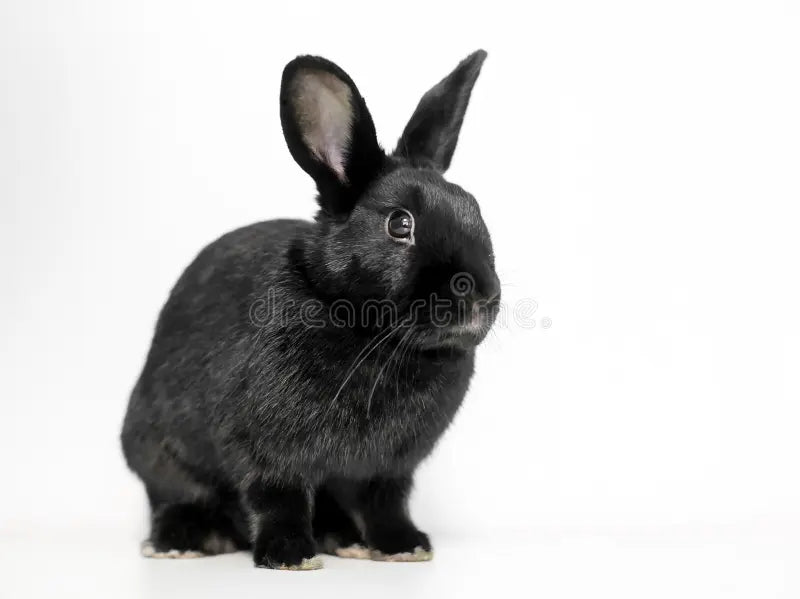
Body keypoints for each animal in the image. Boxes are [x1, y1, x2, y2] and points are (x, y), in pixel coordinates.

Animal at [121, 49, 500, 570]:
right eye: (399, 224)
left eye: (476, 210)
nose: (481, 294)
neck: (370, 335)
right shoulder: (265, 450)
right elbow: (277, 497)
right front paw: (289, 556)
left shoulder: (389, 466)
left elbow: (387, 502)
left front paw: (404, 546)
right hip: (159, 454)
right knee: (173, 497)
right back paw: (183, 542)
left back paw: (343, 538)